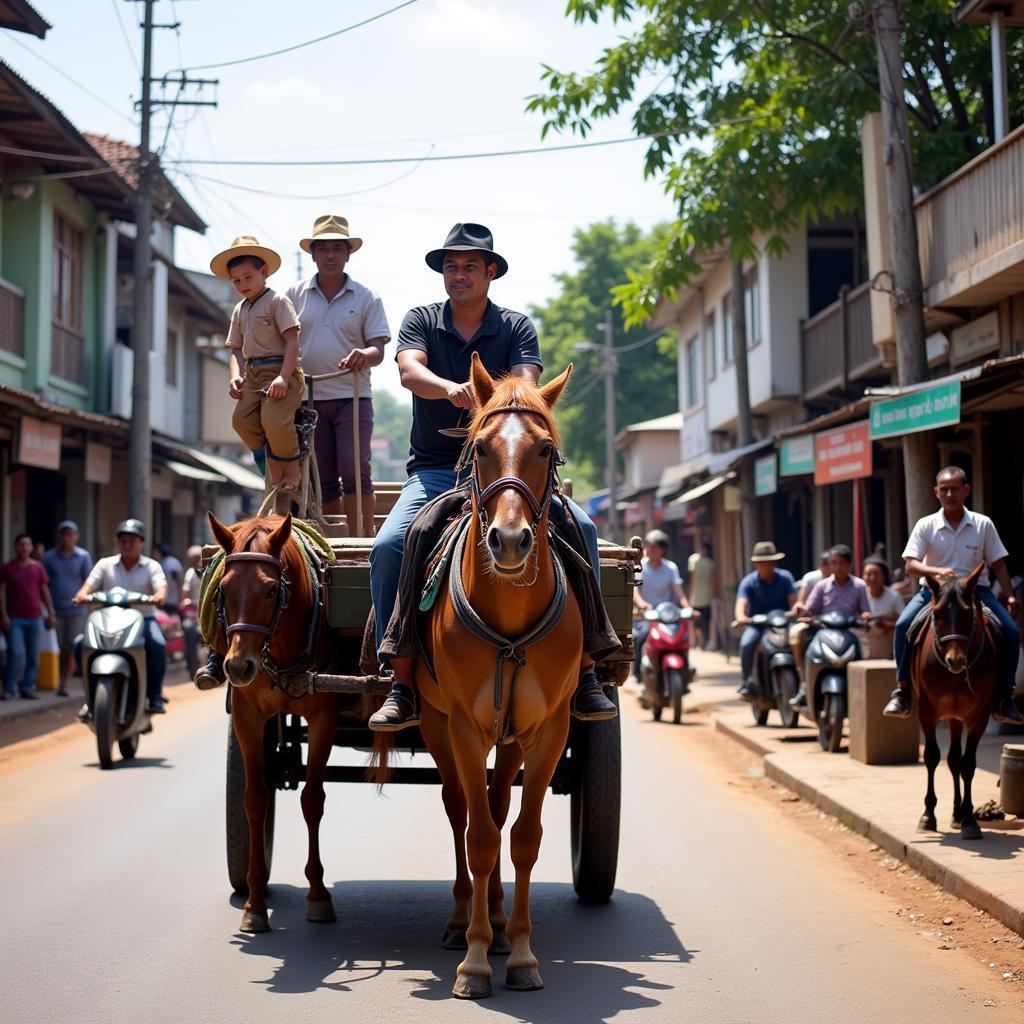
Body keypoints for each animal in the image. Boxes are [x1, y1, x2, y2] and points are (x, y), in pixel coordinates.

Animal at [206, 512, 335, 929]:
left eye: (269, 590)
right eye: (224, 589)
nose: (237, 666)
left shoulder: (325, 715)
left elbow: (313, 800)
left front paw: (318, 895)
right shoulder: (247, 716)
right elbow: (255, 798)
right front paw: (255, 902)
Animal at [399, 354, 581, 999]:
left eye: (546, 450)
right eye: (479, 448)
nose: (508, 540)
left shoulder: (549, 729)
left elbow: (522, 836)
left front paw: (521, 952)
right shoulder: (462, 725)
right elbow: (477, 837)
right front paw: (475, 961)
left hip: (513, 737)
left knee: (499, 807)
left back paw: (500, 920)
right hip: (434, 720)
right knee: (460, 808)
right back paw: (464, 921)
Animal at [917, 565, 995, 843]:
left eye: (968, 613)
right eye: (937, 614)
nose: (955, 660)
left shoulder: (978, 716)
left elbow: (968, 764)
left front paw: (970, 820)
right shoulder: (926, 710)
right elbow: (931, 757)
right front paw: (928, 815)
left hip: (956, 716)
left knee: (956, 761)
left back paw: (959, 814)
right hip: (950, 716)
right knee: (950, 760)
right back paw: (953, 813)